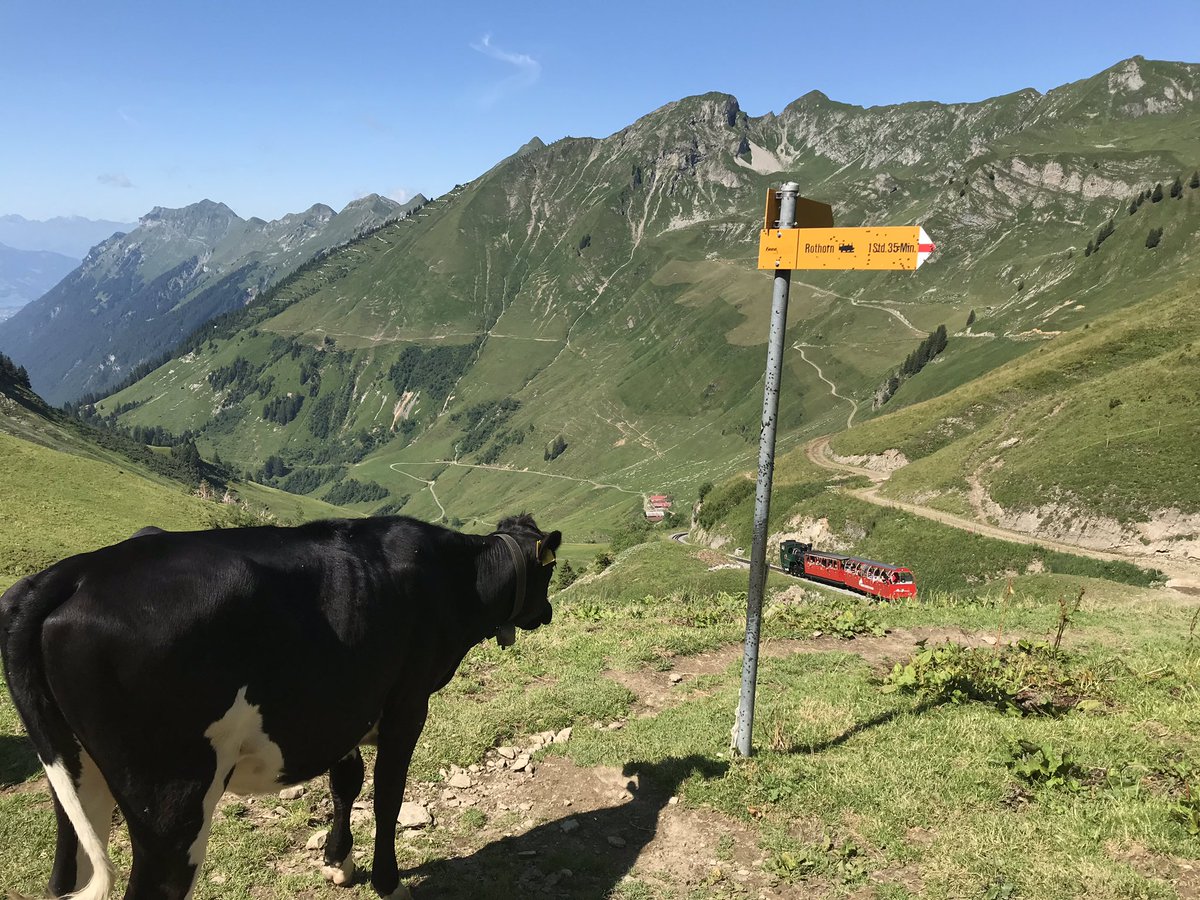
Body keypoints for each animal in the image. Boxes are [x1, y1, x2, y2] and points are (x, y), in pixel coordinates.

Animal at [0, 513, 560, 900]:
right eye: (548, 577)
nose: (548, 612)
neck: (452, 580)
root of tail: (74, 573)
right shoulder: (407, 704)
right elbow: (387, 794)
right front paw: (388, 881)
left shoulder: (340, 707)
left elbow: (346, 782)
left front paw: (337, 862)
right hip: (172, 800)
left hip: (76, 776)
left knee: (66, 872)